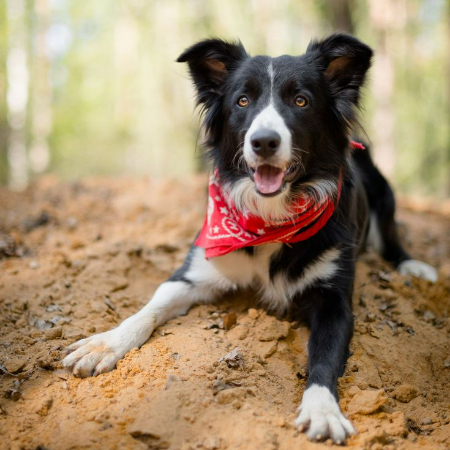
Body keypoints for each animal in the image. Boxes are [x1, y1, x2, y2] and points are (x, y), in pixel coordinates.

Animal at [62, 34, 436, 442]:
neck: (269, 218)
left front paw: (322, 410)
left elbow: (324, 358)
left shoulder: (335, 300)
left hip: (385, 194)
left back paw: (413, 267)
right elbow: (150, 309)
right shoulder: (195, 271)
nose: (264, 142)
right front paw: (106, 343)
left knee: (392, 239)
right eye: (242, 101)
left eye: (300, 101)